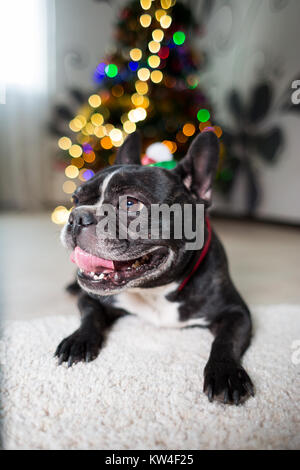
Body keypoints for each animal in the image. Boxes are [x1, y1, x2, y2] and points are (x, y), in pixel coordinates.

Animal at [56, 131, 253, 404]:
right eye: (75, 199)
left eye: (130, 203)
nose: (76, 216)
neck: (155, 291)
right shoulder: (93, 298)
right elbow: (90, 315)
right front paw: (78, 340)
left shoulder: (237, 312)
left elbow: (226, 341)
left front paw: (225, 372)